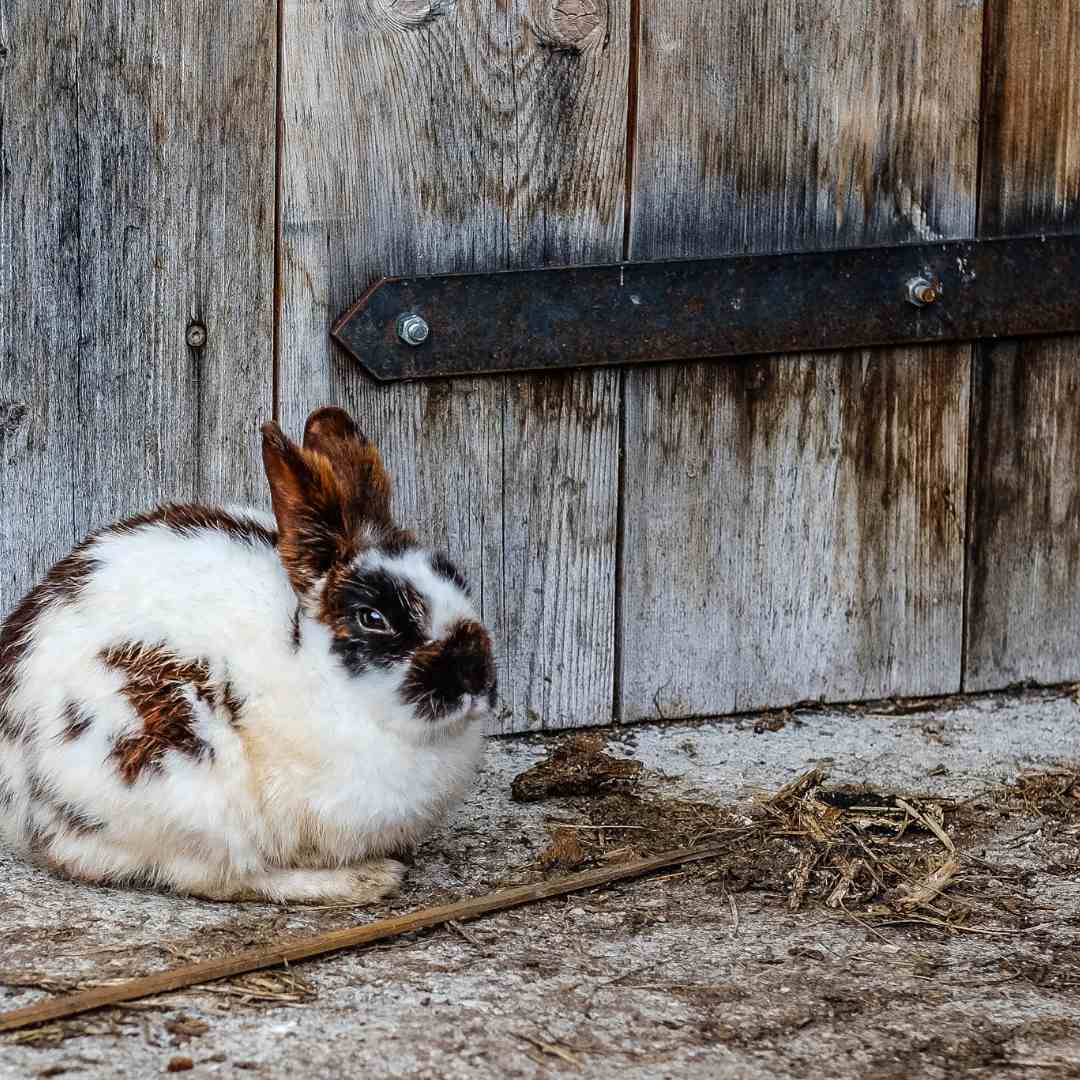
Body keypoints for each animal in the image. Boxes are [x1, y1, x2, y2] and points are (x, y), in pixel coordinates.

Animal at [0, 406, 494, 902]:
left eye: (458, 580)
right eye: (373, 618)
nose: (475, 675)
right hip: (184, 777)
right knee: (225, 875)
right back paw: (363, 879)